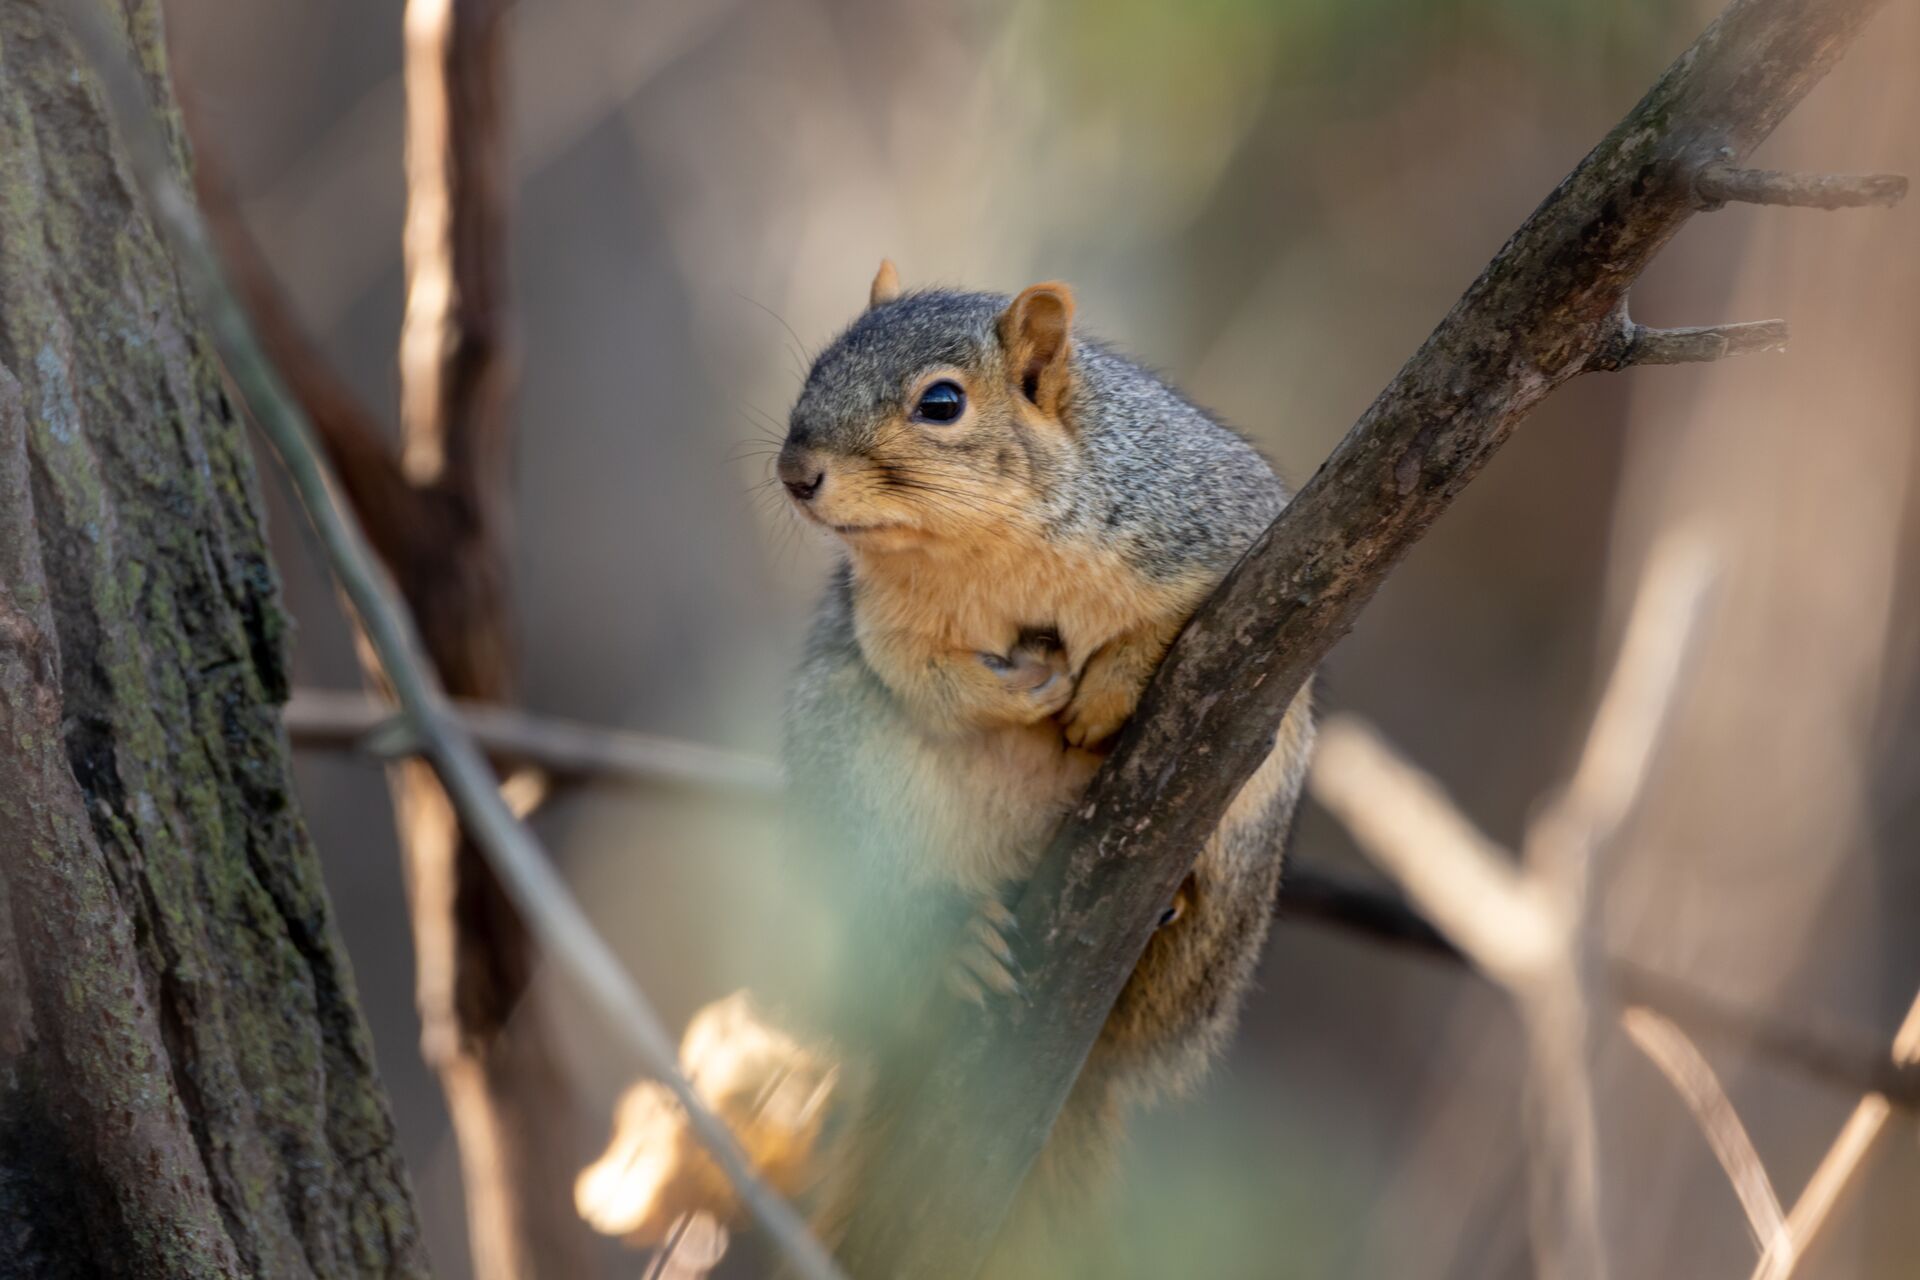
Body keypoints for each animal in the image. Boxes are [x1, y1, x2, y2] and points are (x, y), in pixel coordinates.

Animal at [576, 262, 1315, 1276]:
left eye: (941, 403)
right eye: (818, 365)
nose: (795, 473)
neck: (982, 544)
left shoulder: (1220, 525)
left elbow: (1192, 617)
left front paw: (1104, 690)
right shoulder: (883, 622)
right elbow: (924, 682)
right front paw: (1028, 694)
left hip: (1246, 853)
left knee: (1162, 1009)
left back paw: (1168, 914)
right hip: (855, 812)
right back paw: (954, 941)